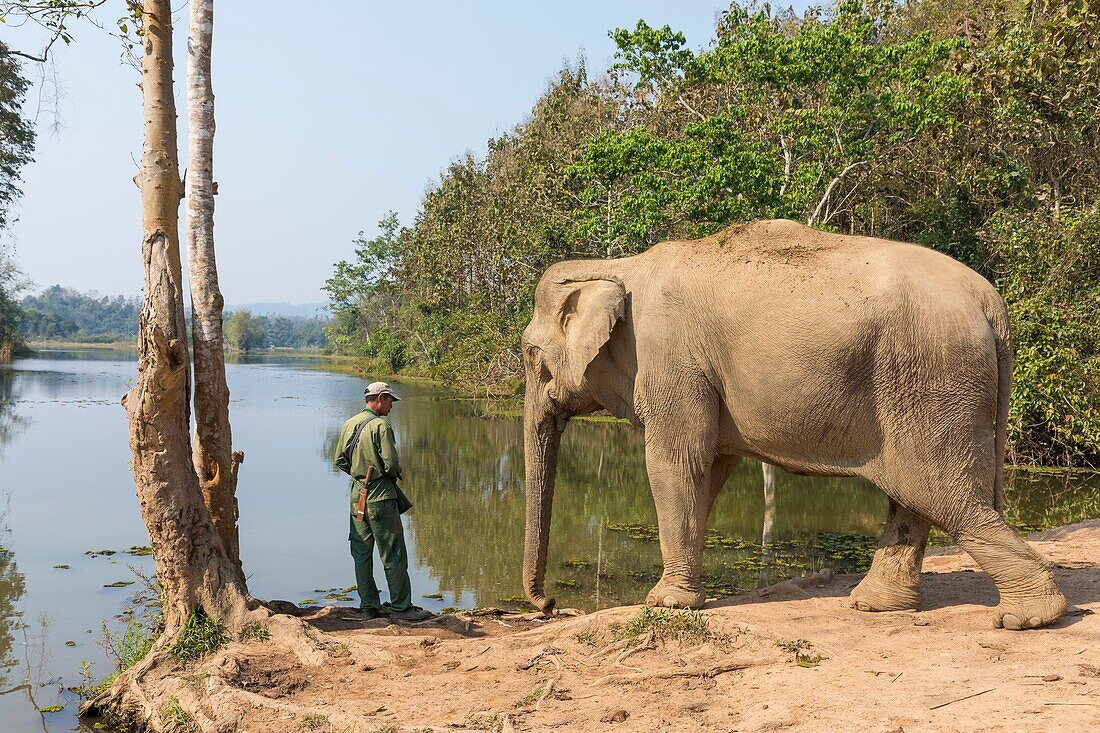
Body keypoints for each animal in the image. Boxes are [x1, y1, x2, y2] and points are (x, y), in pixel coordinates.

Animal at [521, 216, 1064, 629]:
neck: (617, 266)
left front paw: (665, 603)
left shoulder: (673, 362)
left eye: (528, 354)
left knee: (945, 494)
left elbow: (674, 462)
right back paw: (876, 605)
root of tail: (992, 304)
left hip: (932, 378)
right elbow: (710, 467)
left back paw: (1028, 616)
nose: (550, 605)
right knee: (917, 496)